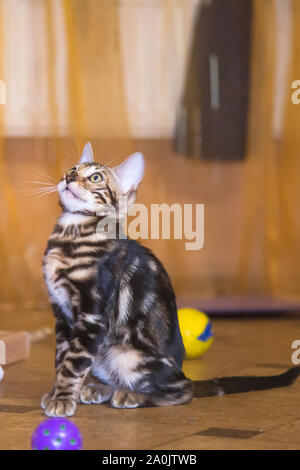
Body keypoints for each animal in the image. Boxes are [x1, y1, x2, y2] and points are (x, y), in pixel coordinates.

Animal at [41, 141, 300, 416]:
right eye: (72, 169)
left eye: (95, 177)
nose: (68, 177)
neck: (72, 233)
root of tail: (181, 370)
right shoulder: (62, 315)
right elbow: (62, 357)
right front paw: (57, 393)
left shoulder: (92, 315)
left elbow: (73, 363)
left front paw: (62, 399)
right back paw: (98, 388)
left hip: (126, 356)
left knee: (181, 392)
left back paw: (132, 394)